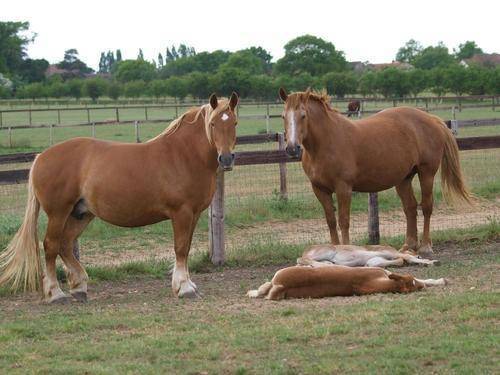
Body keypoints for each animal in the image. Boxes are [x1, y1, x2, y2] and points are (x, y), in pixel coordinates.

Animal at [280, 89, 470, 258]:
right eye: (283, 116)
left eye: (303, 115)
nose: (292, 148)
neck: (325, 143)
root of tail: (432, 119)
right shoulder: (319, 189)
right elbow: (331, 221)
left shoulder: (343, 188)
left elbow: (344, 220)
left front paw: (345, 249)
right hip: (404, 179)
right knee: (410, 208)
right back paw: (408, 245)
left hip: (426, 173)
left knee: (426, 206)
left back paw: (425, 246)